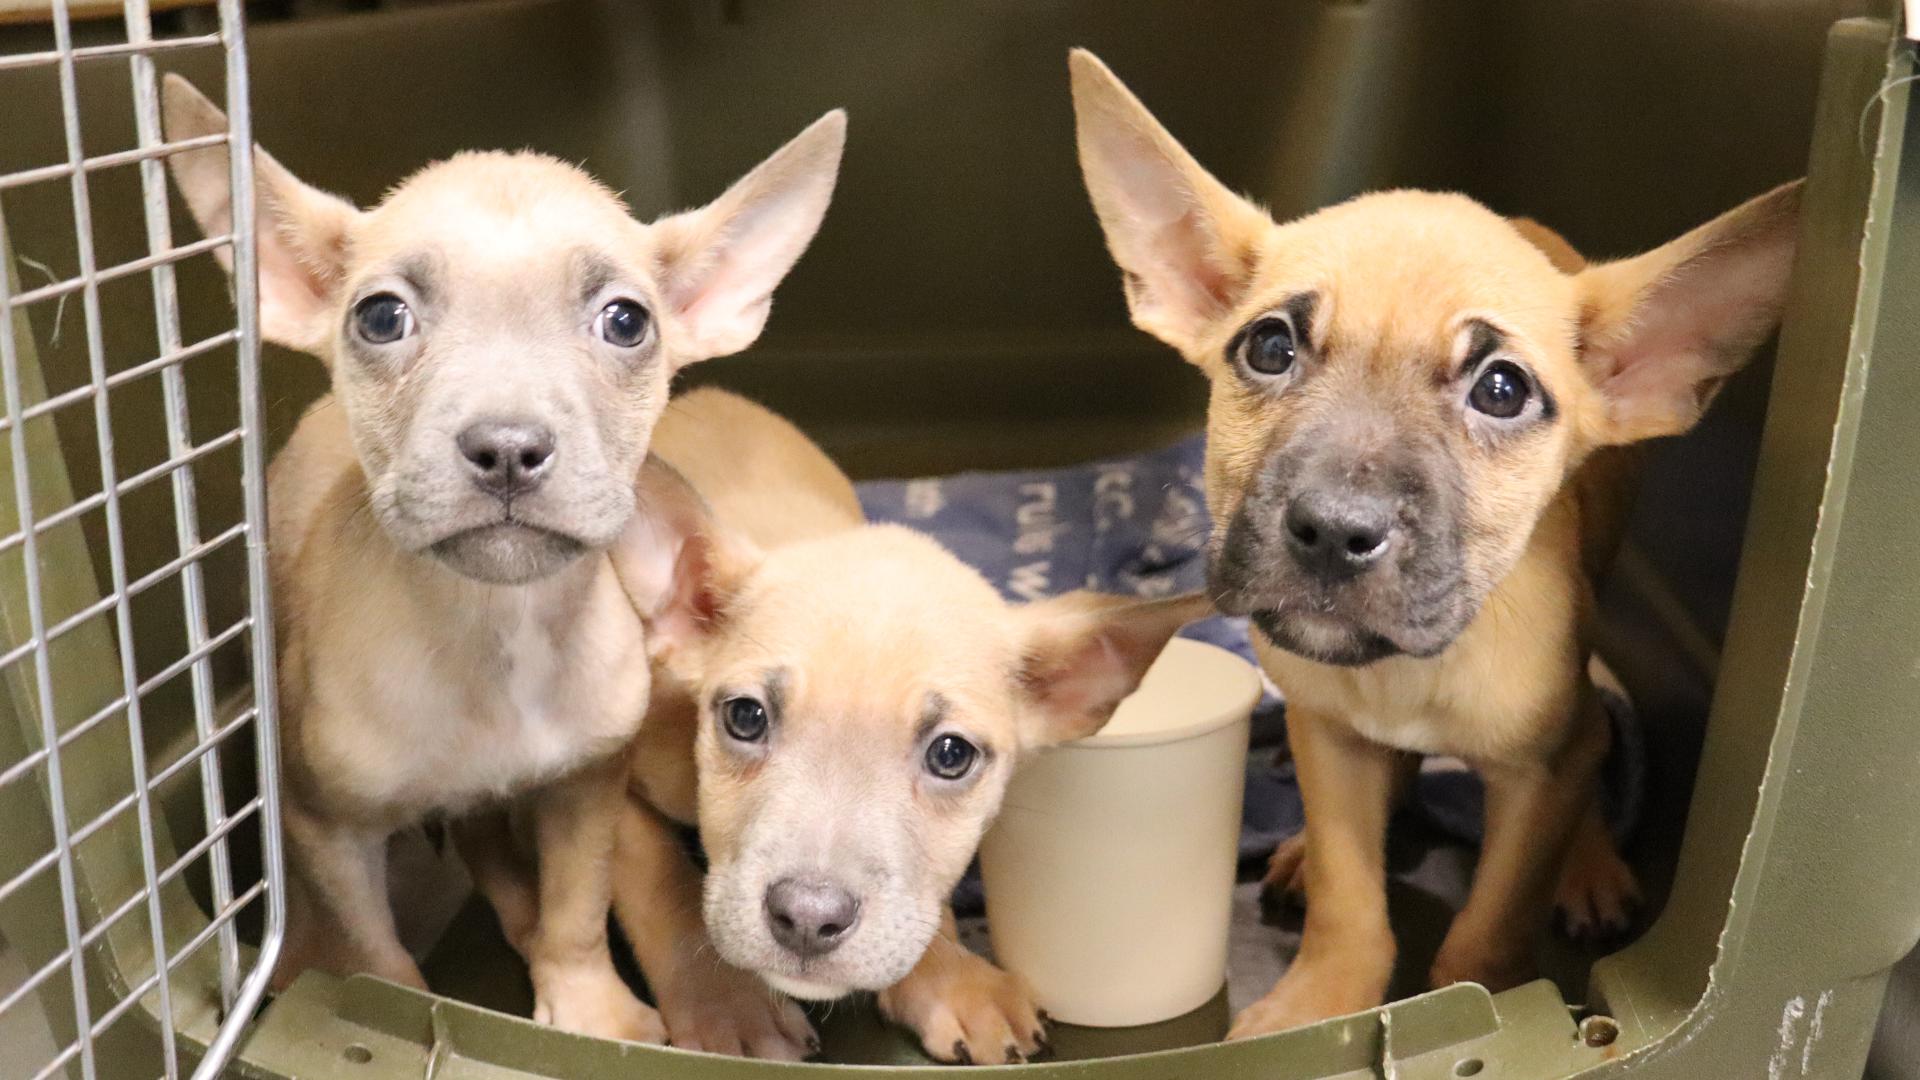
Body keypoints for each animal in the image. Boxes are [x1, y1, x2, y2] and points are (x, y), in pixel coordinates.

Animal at [168, 73, 844, 1037]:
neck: (499, 629)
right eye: (381, 316)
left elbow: (576, 906)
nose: (508, 448)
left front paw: (588, 1005)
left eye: (626, 321)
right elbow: (376, 959)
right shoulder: (326, 825)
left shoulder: (585, 787)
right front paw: (386, 1008)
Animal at [587, 388, 1213, 1060]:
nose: (808, 917)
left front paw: (952, 981)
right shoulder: (614, 770)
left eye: (951, 755)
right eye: (745, 717)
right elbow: (655, 876)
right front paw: (727, 1007)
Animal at [1067, 50, 1797, 1037]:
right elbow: (1351, 896)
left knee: (1597, 731)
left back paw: (1591, 862)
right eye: (1269, 347)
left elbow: (1491, 925)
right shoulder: (1327, 735)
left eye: (1502, 390)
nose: (1335, 532)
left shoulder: (1535, 777)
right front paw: (1320, 999)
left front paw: (1490, 1005)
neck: (1408, 668)